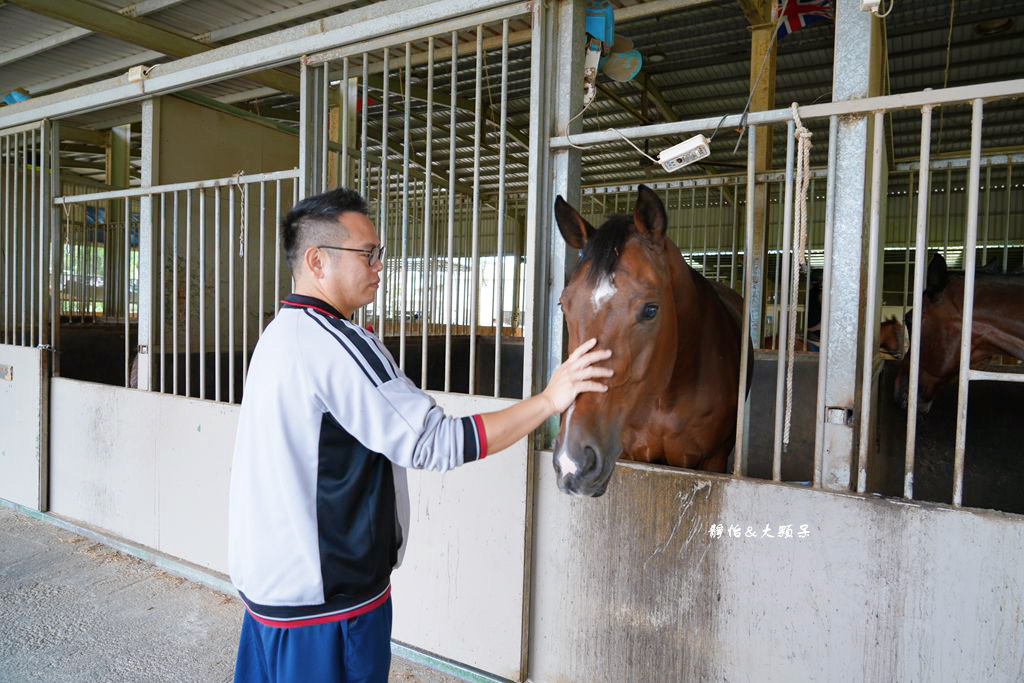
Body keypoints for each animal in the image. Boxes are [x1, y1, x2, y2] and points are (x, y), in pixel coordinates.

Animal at [552, 187, 753, 497]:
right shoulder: (633, 454)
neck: (665, 399)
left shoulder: (713, 461)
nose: (572, 463)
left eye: (650, 310)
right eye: (564, 305)